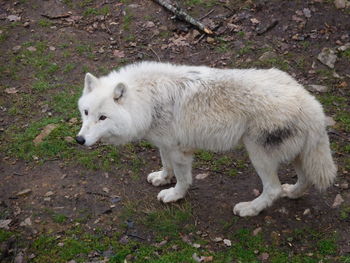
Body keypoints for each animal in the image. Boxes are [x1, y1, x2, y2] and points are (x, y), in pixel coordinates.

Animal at [76, 61, 336, 217]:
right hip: (296, 155)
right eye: (86, 112)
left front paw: (174, 195)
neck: (147, 100)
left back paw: (250, 209)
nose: (79, 140)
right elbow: (165, 163)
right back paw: (292, 192)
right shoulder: (165, 143)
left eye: (103, 117)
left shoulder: (180, 151)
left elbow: (182, 179)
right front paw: (162, 178)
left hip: (258, 155)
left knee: (273, 189)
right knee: (304, 180)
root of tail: (313, 105)